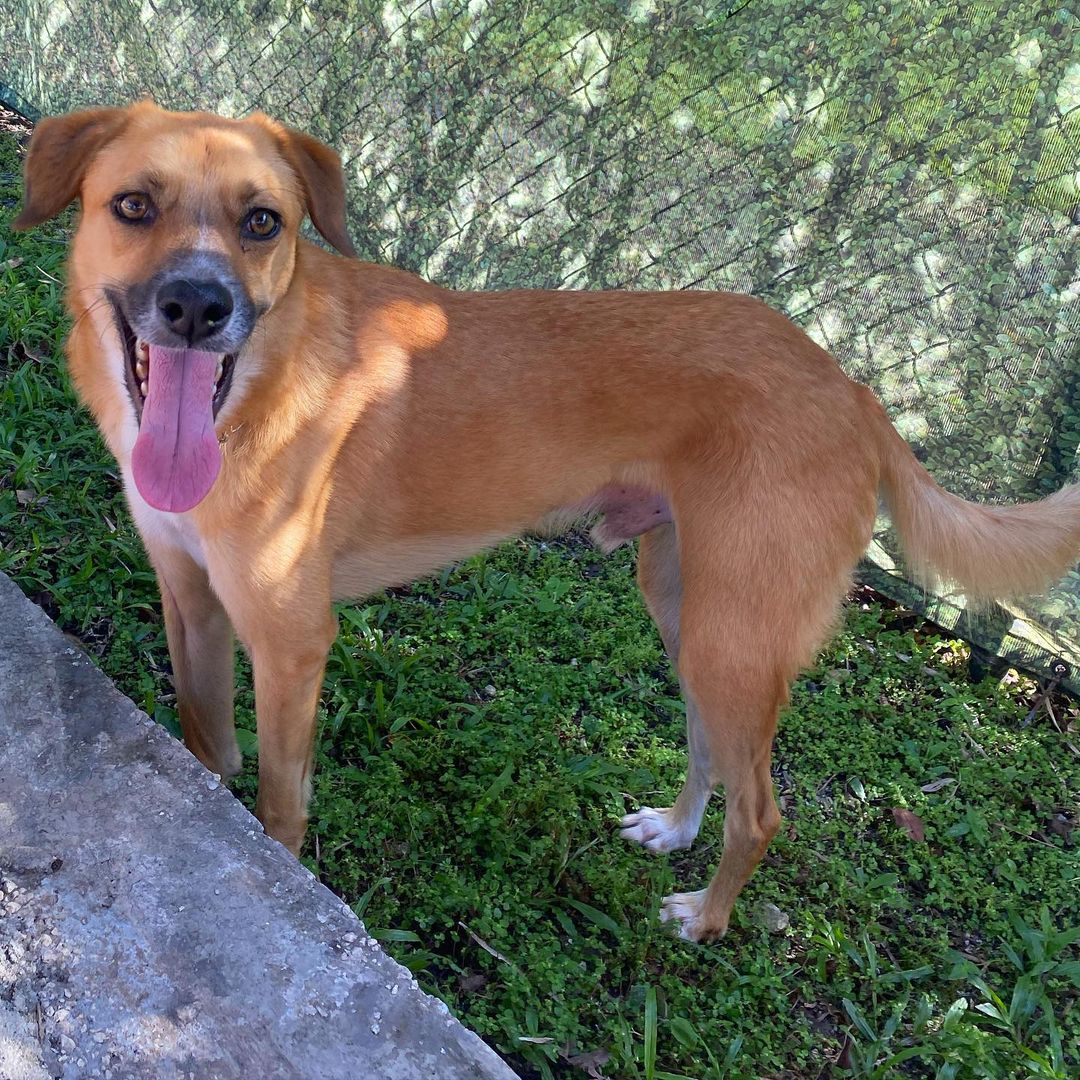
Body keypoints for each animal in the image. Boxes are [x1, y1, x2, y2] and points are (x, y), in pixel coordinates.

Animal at [14, 103, 1080, 946]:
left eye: (262, 221)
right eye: (133, 206)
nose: (198, 305)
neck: (251, 400)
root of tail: (853, 388)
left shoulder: (291, 641)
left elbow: (279, 796)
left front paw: (277, 878)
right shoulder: (189, 598)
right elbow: (205, 737)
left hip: (735, 636)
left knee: (766, 809)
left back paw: (706, 917)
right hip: (687, 606)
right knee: (710, 748)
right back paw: (673, 832)